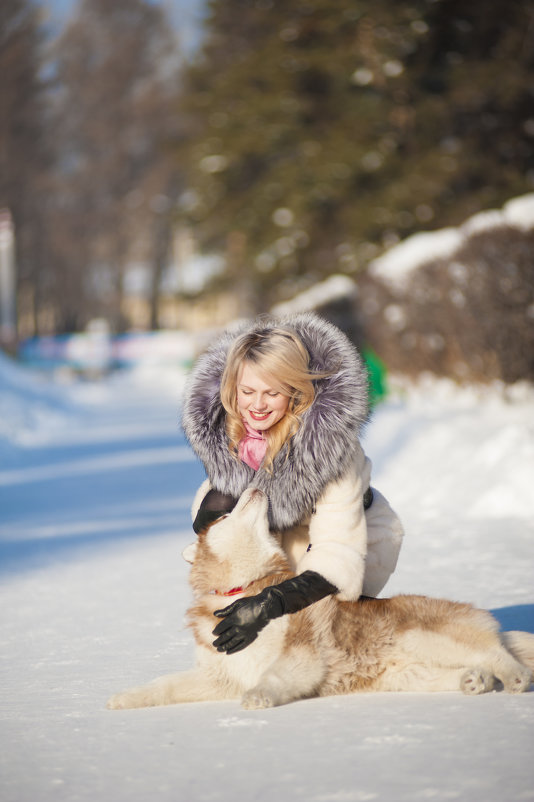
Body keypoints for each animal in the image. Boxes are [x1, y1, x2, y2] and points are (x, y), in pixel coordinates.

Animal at [107, 488, 532, 708]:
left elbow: (273, 676)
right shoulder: (220, 675)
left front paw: (258, 696)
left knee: (497, 652)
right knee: (467, 666)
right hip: (407, 675)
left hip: (424, 636)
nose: (256, 486)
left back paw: (512, 676)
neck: (244, 589)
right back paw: (473, 680)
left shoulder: (301, 658)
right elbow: (164, 685)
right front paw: (123, 698)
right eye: (224, 516)